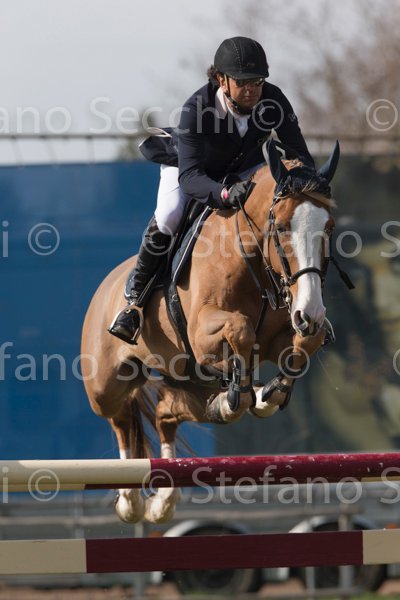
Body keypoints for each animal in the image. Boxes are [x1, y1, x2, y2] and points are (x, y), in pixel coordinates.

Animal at [81, 140, 341, 523]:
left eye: (330, 227)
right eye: (280, 228)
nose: (311, 312)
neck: (254, 264)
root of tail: (104, 287)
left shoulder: (284, 333)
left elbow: (305, 343)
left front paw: (267, 394)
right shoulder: (203, 337)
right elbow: (241, 329)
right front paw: (243, 394)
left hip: (188, 383)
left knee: (165, 413)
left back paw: (163, 500)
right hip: (106, 386)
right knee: (122, 418)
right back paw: (130, 500)